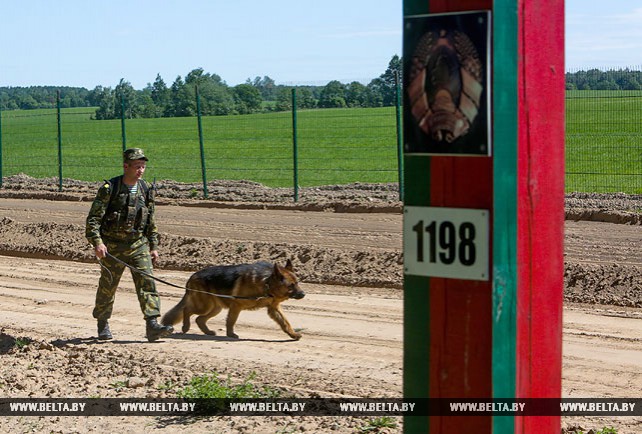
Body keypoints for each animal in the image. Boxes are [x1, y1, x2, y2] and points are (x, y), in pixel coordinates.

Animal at [161, 262, 304, 340]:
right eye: (291, 286)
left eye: (297, 283)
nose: (303, 294)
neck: (267, 283)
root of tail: (192, 276)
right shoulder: (236, 306)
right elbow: (231, 321)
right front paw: (230, 334)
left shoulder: (274, 308)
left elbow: (285, 323)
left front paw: (293, 334)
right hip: (204, 306)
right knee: (187, 310)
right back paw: (185, 327)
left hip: (215, 308)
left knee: (199, 319)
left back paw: (207, 332)